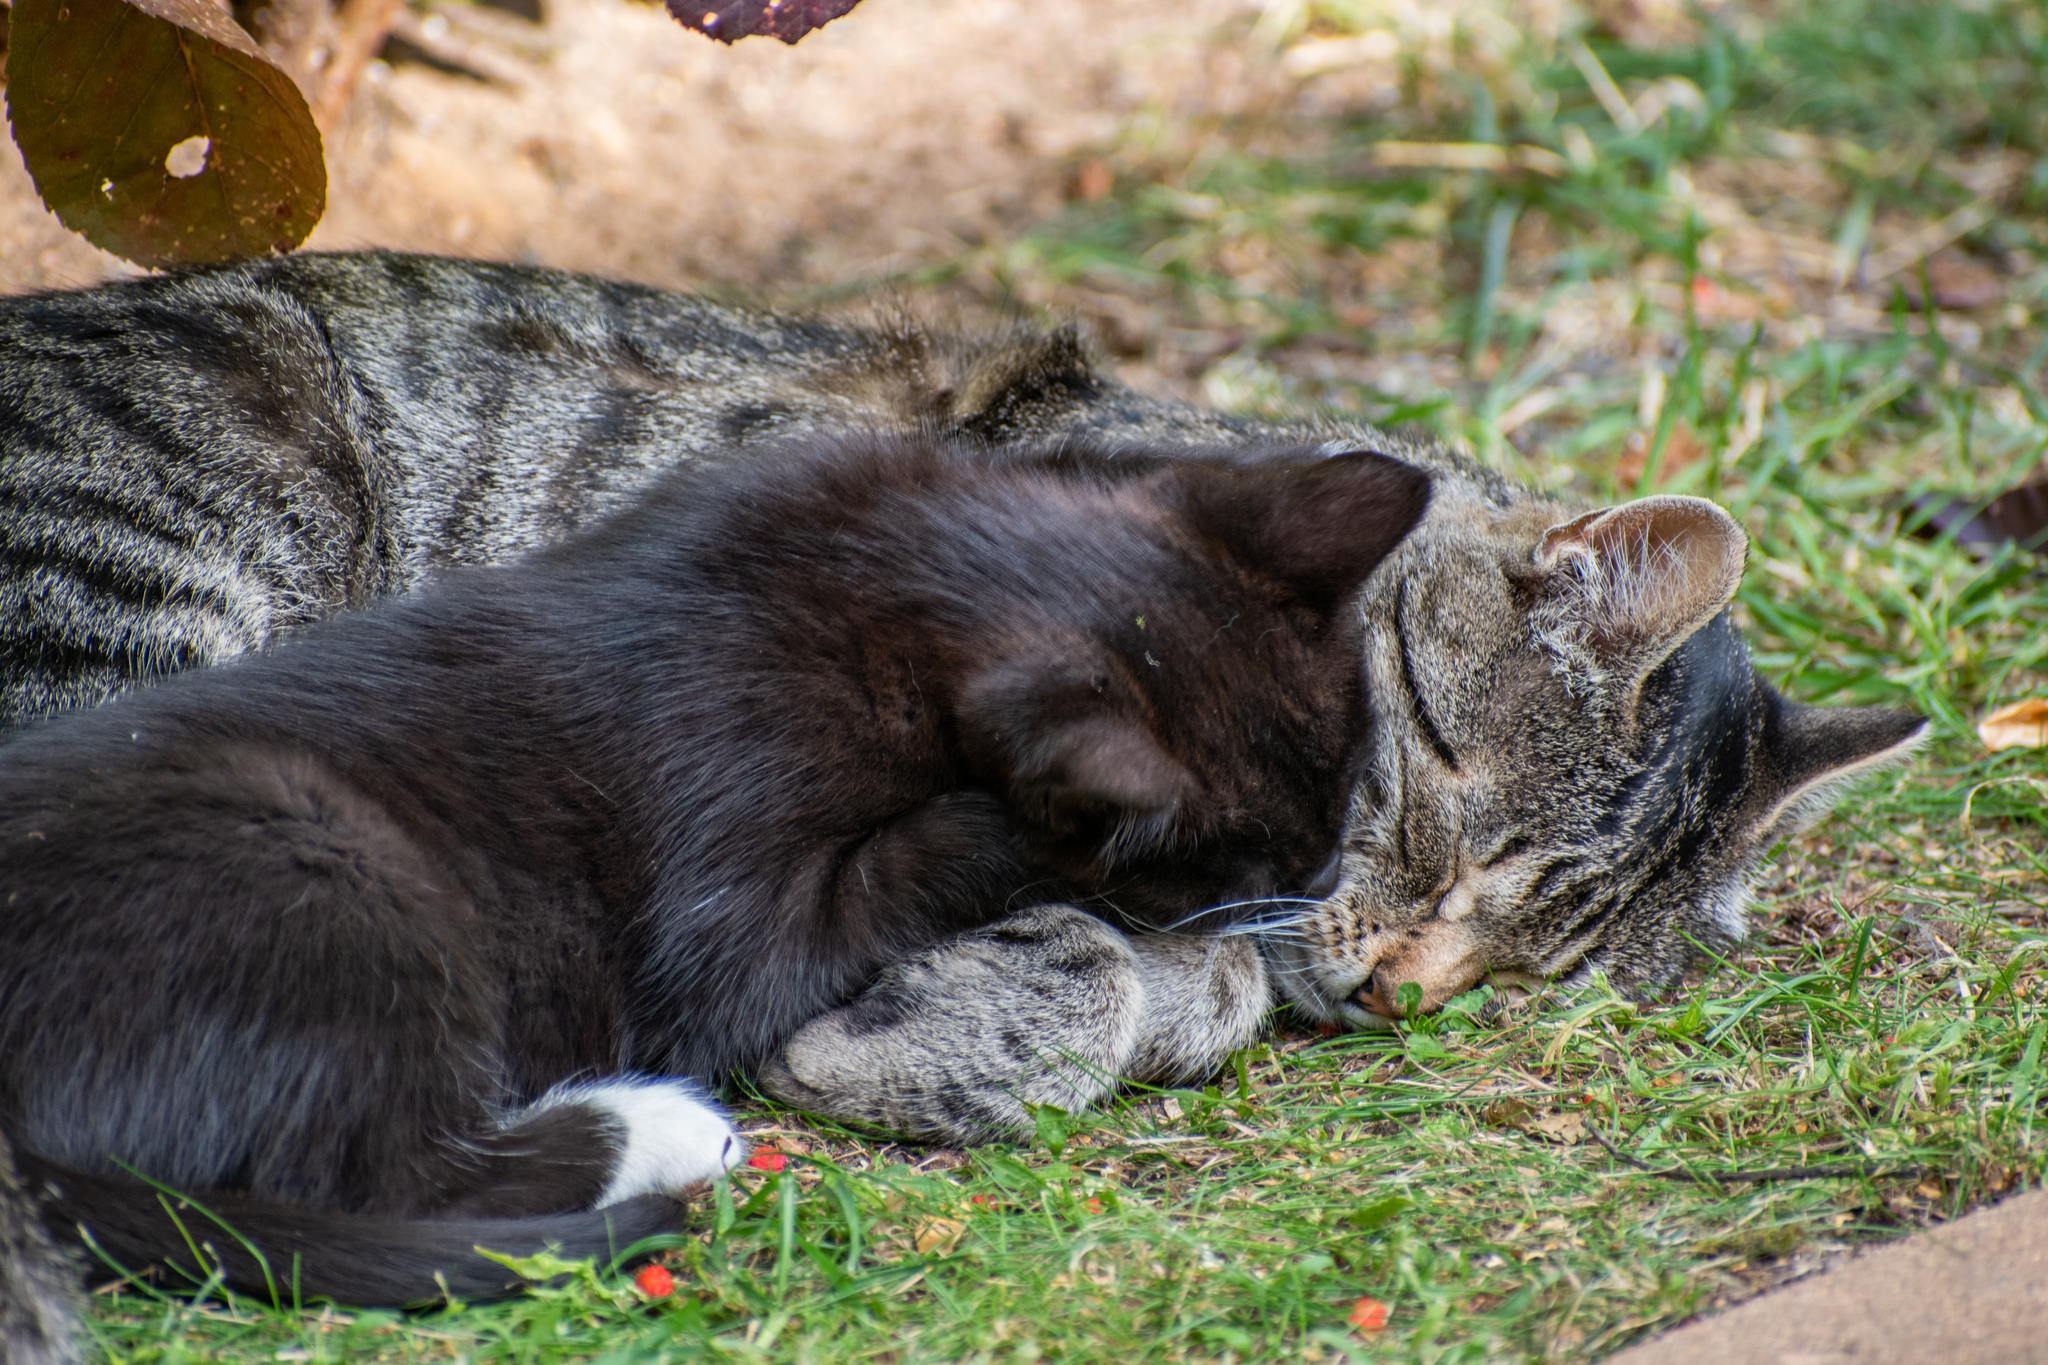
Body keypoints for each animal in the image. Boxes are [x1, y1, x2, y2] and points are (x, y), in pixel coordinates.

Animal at [0, 431, 1433, 1309]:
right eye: (1262, 857)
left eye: (1348, 801)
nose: (1317, 896)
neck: (891, 582)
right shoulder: (724, 837)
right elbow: (888, 881)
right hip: (320, 853)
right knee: (368, 1178)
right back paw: (655, 1125)